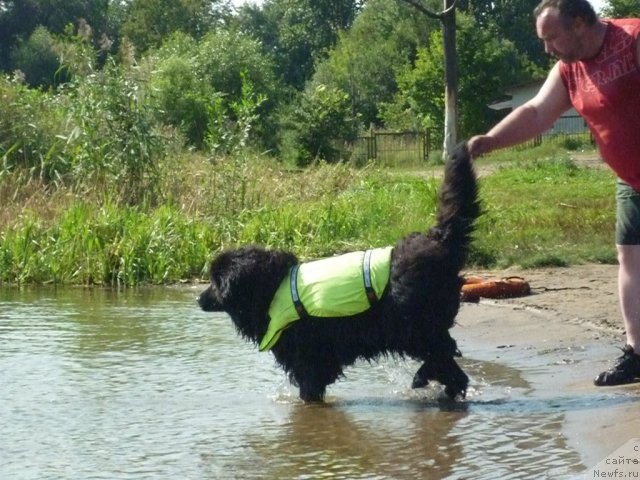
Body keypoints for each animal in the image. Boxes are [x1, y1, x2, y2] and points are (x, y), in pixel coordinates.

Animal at [198, 142, 478, 402]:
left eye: (214, 283)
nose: (198, 299)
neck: (271, 290)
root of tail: (437, 238)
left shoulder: (309, 358)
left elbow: (310, 386)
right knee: (449, 363)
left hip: (413, 326)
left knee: (442, 352)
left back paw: (424, 378)